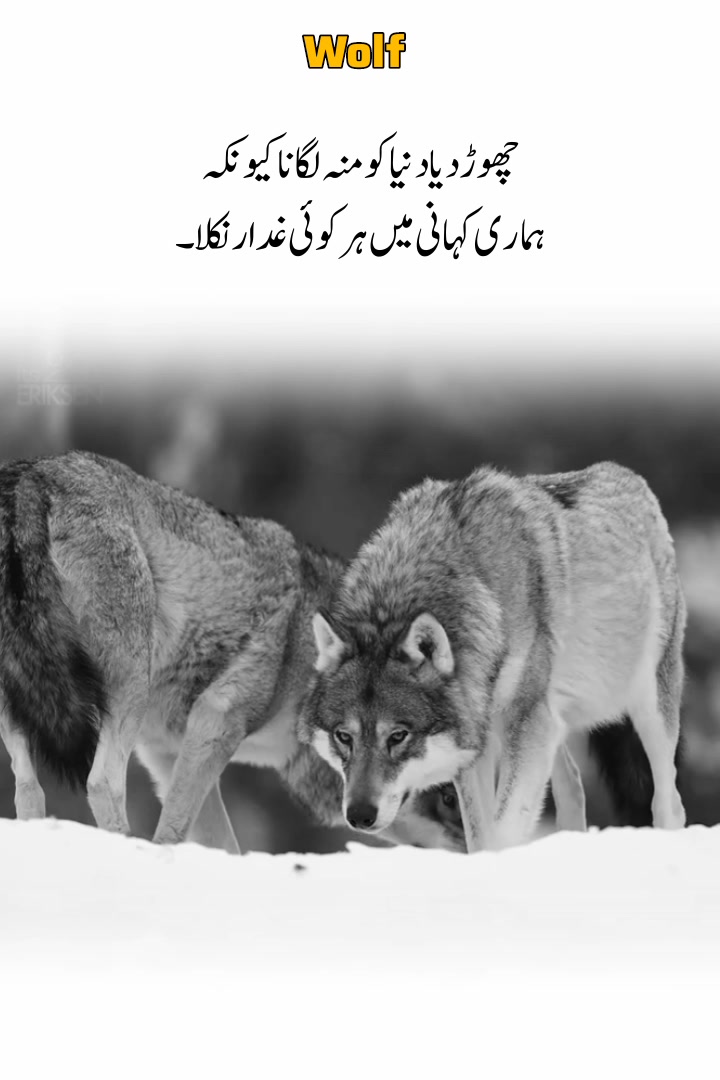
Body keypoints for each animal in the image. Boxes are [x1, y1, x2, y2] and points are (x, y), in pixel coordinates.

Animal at [0, 451, 464, 853]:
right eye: (446, 794)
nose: (475, 852)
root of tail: (33, 474)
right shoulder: (216, 719)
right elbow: (172, 830)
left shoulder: (168, 751)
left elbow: (220, 843)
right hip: (125, 692)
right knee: (101, 782)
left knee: (27, 792)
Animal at [300, 462, 687, 851]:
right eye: (343, 736)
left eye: (398, 736)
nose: (359, 816)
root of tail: (626, 475)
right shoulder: (476, 744)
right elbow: (481, 832)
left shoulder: (526, 724)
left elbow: (503, 828)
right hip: (553, 723)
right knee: (574, 788)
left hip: (647, 706)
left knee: (669, 800)